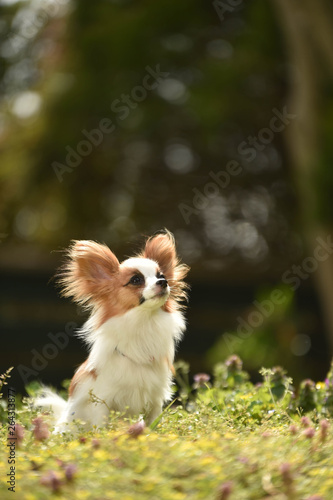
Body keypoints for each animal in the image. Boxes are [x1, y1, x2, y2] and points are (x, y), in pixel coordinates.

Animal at [36, 230, 188, 430]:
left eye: (161, 275)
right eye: (136, 280)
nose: (163, 282)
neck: (143, 322)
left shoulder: (155, 401)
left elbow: (152, 425)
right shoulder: (102, 402)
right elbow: (101, 427)